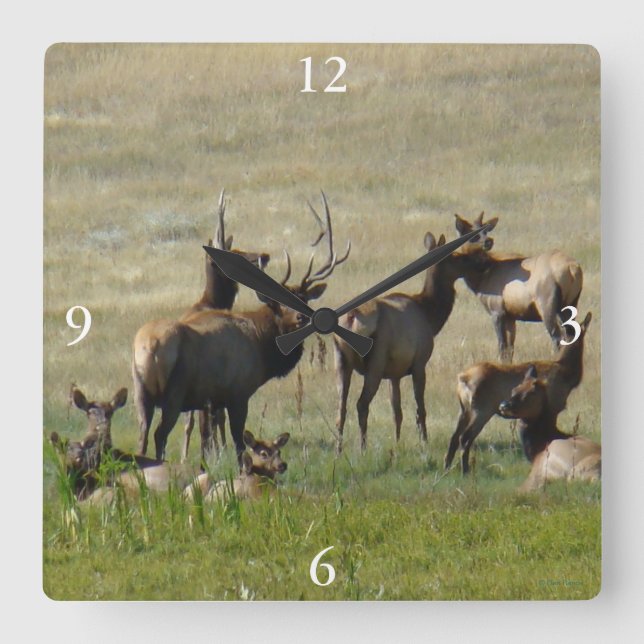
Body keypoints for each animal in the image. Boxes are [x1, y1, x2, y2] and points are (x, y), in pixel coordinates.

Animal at [334, 232, 492, 453]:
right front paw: (424, 441)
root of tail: (351, 318)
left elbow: (397, 411)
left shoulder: (394, 373)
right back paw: (362, 447)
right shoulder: (419, 362)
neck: (431, 316)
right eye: (457, 256)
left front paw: (397, 442)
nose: (483, 263)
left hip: (341, 360)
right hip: (376, 361)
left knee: (341, 406)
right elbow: (420, 408)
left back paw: (338, 449)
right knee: (361, 404)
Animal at [444, 311, 592, 474]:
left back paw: (446, 469)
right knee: (464, 438)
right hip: (482, 409)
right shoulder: (553, 406)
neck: (567, 375)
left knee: (453, 437)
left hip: (464, 408)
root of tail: (462, 378)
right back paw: (465, 471)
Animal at [454, 212, 583, 362]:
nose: (488, 241)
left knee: (557, 337)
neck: (483, 277)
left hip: (547, 305)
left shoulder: (497, 311)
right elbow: (510, 349)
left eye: (485, 231)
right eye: (472, 234)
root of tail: (572, 268)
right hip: (571, 303)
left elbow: (502, 347)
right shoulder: (511, 316)